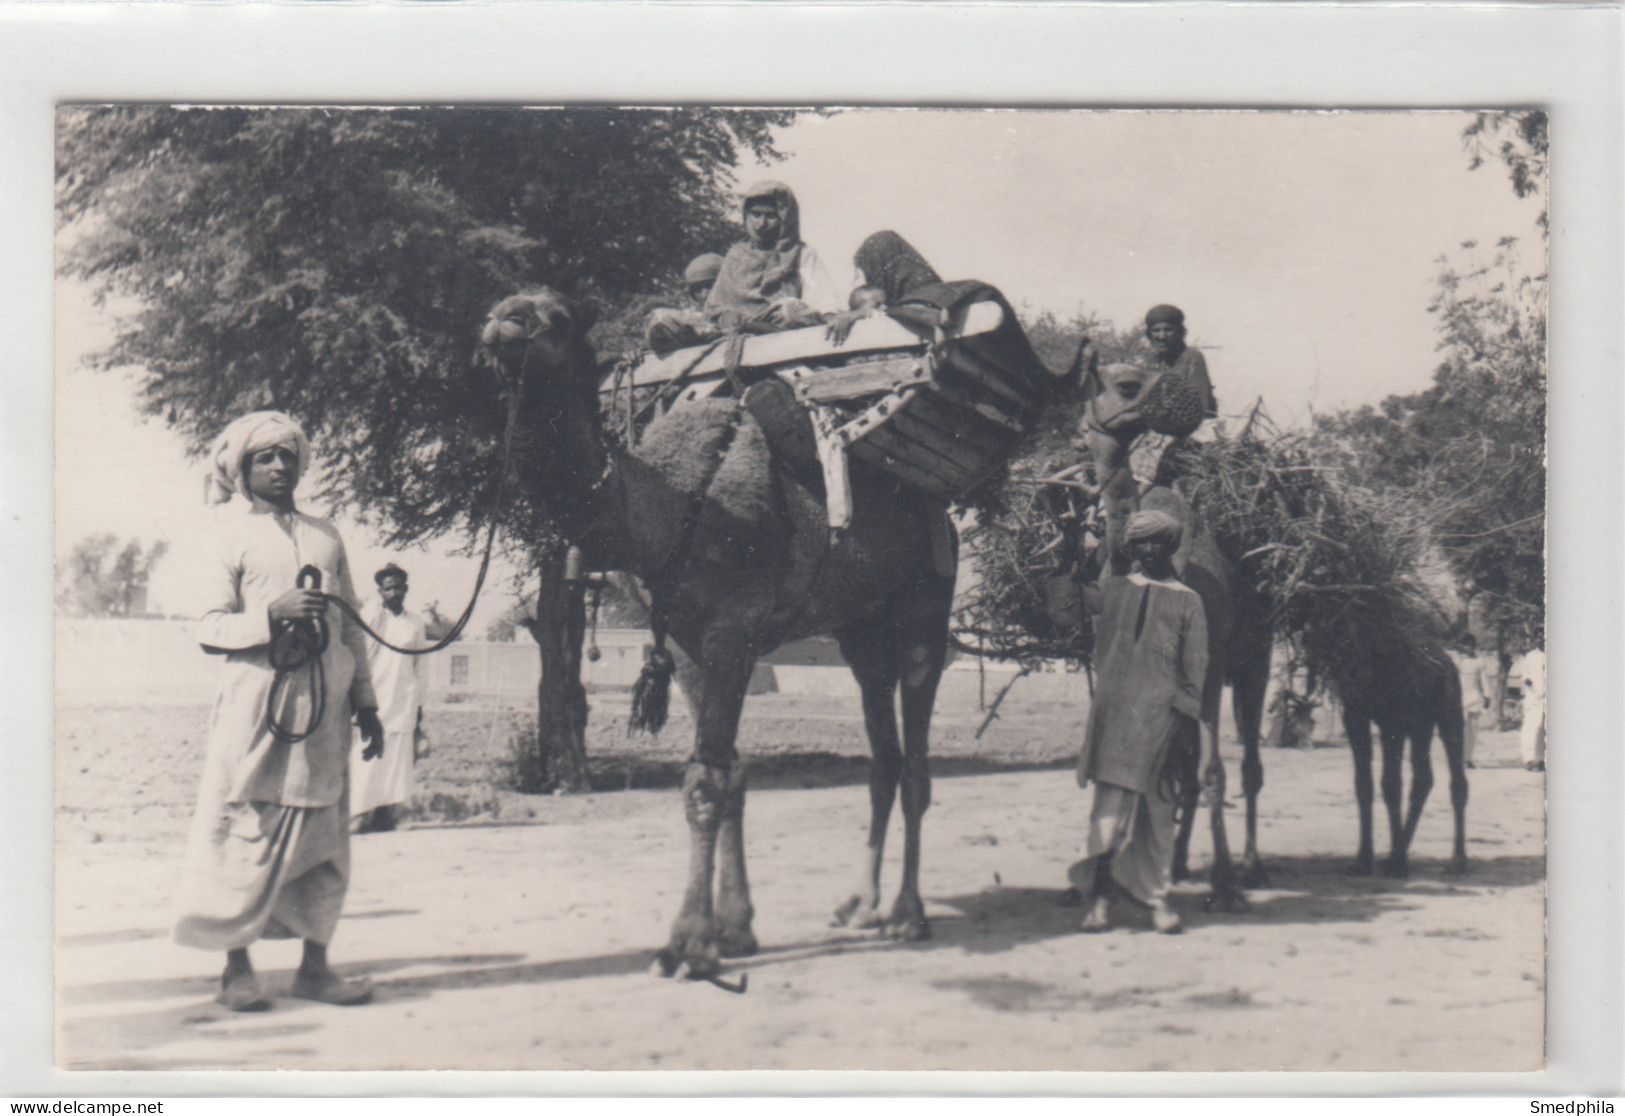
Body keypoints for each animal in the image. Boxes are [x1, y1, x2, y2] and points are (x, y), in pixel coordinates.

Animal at [474, 285, 1053, 974]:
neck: (676, 509)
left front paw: (689, 944)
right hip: (860, 631)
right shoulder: (686, 645)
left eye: (557, 318)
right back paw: (859, 905)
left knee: (915, 757)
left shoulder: (733, 630)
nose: (501, 325)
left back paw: (907, 915)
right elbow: (730, 773)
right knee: (882, 756)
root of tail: (936, 508)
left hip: (926, 602)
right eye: (504, 304)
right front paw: (736, 929)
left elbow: (704, 780)